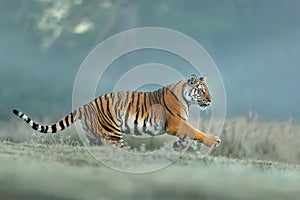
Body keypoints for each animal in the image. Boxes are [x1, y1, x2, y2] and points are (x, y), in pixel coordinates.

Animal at [12, 75, 220, 150]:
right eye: (202, 90)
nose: (211, 100)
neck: (187, 99)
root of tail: (86, 105)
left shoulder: (178, 125)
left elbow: (188, 135)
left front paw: (177, 147)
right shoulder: (175, 123)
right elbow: (195, 131)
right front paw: (213, 141)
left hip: (95, 135)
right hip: (112, 133)